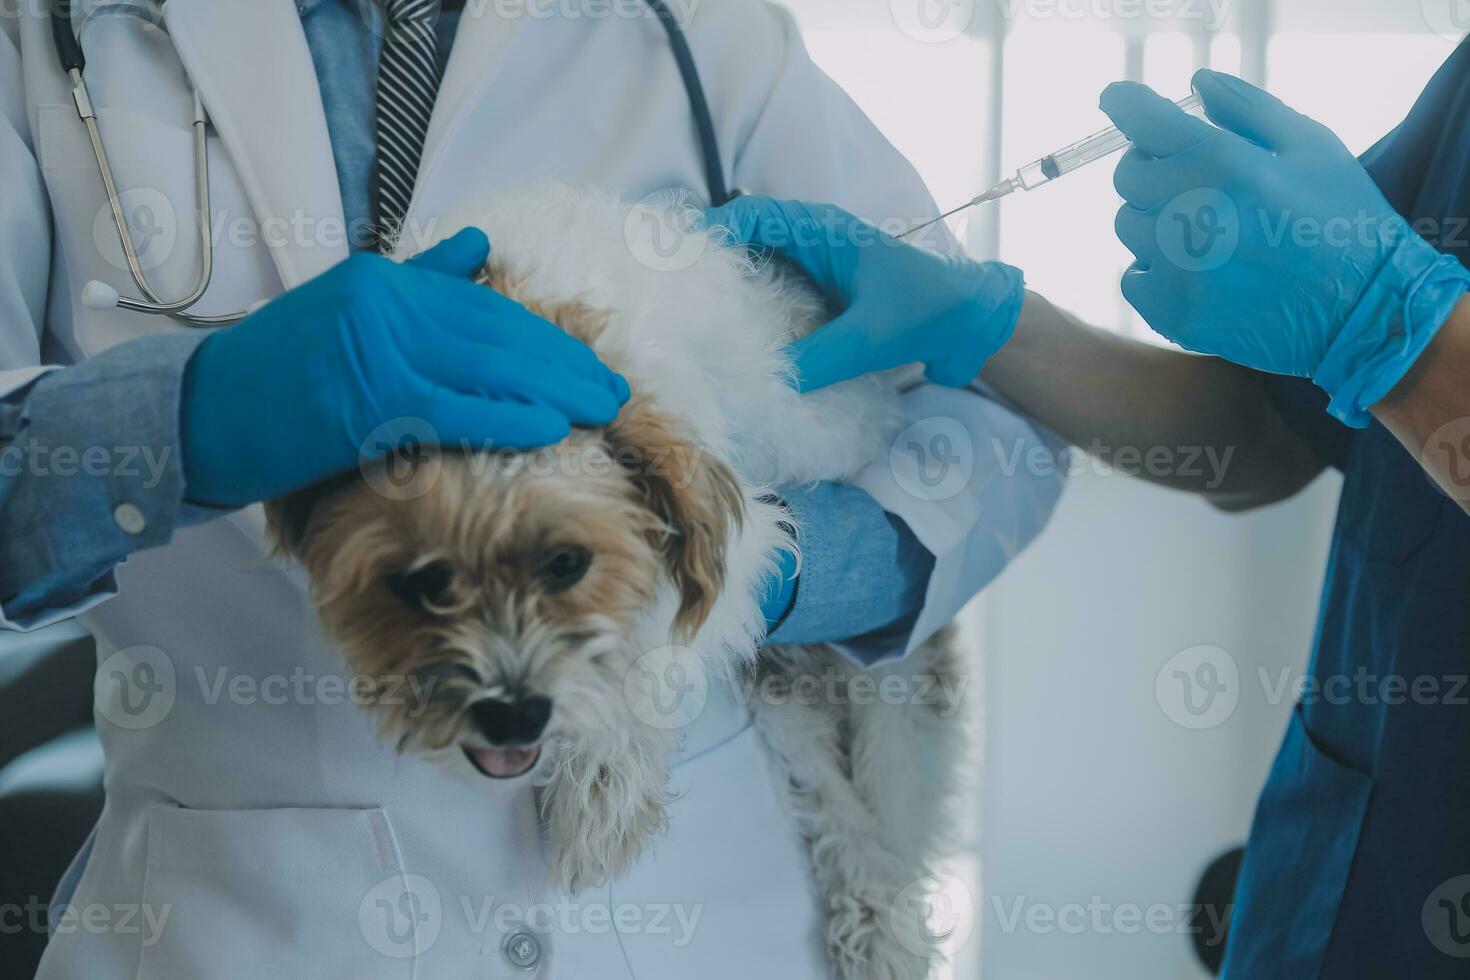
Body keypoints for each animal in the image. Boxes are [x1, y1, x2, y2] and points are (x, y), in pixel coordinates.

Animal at [270, 183, 970, 980]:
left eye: (568, 566)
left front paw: (601, 795)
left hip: (893, 688)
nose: (509, 715)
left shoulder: (743, 538)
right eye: (422, 583)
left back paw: (884, 922)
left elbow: (653, 655)